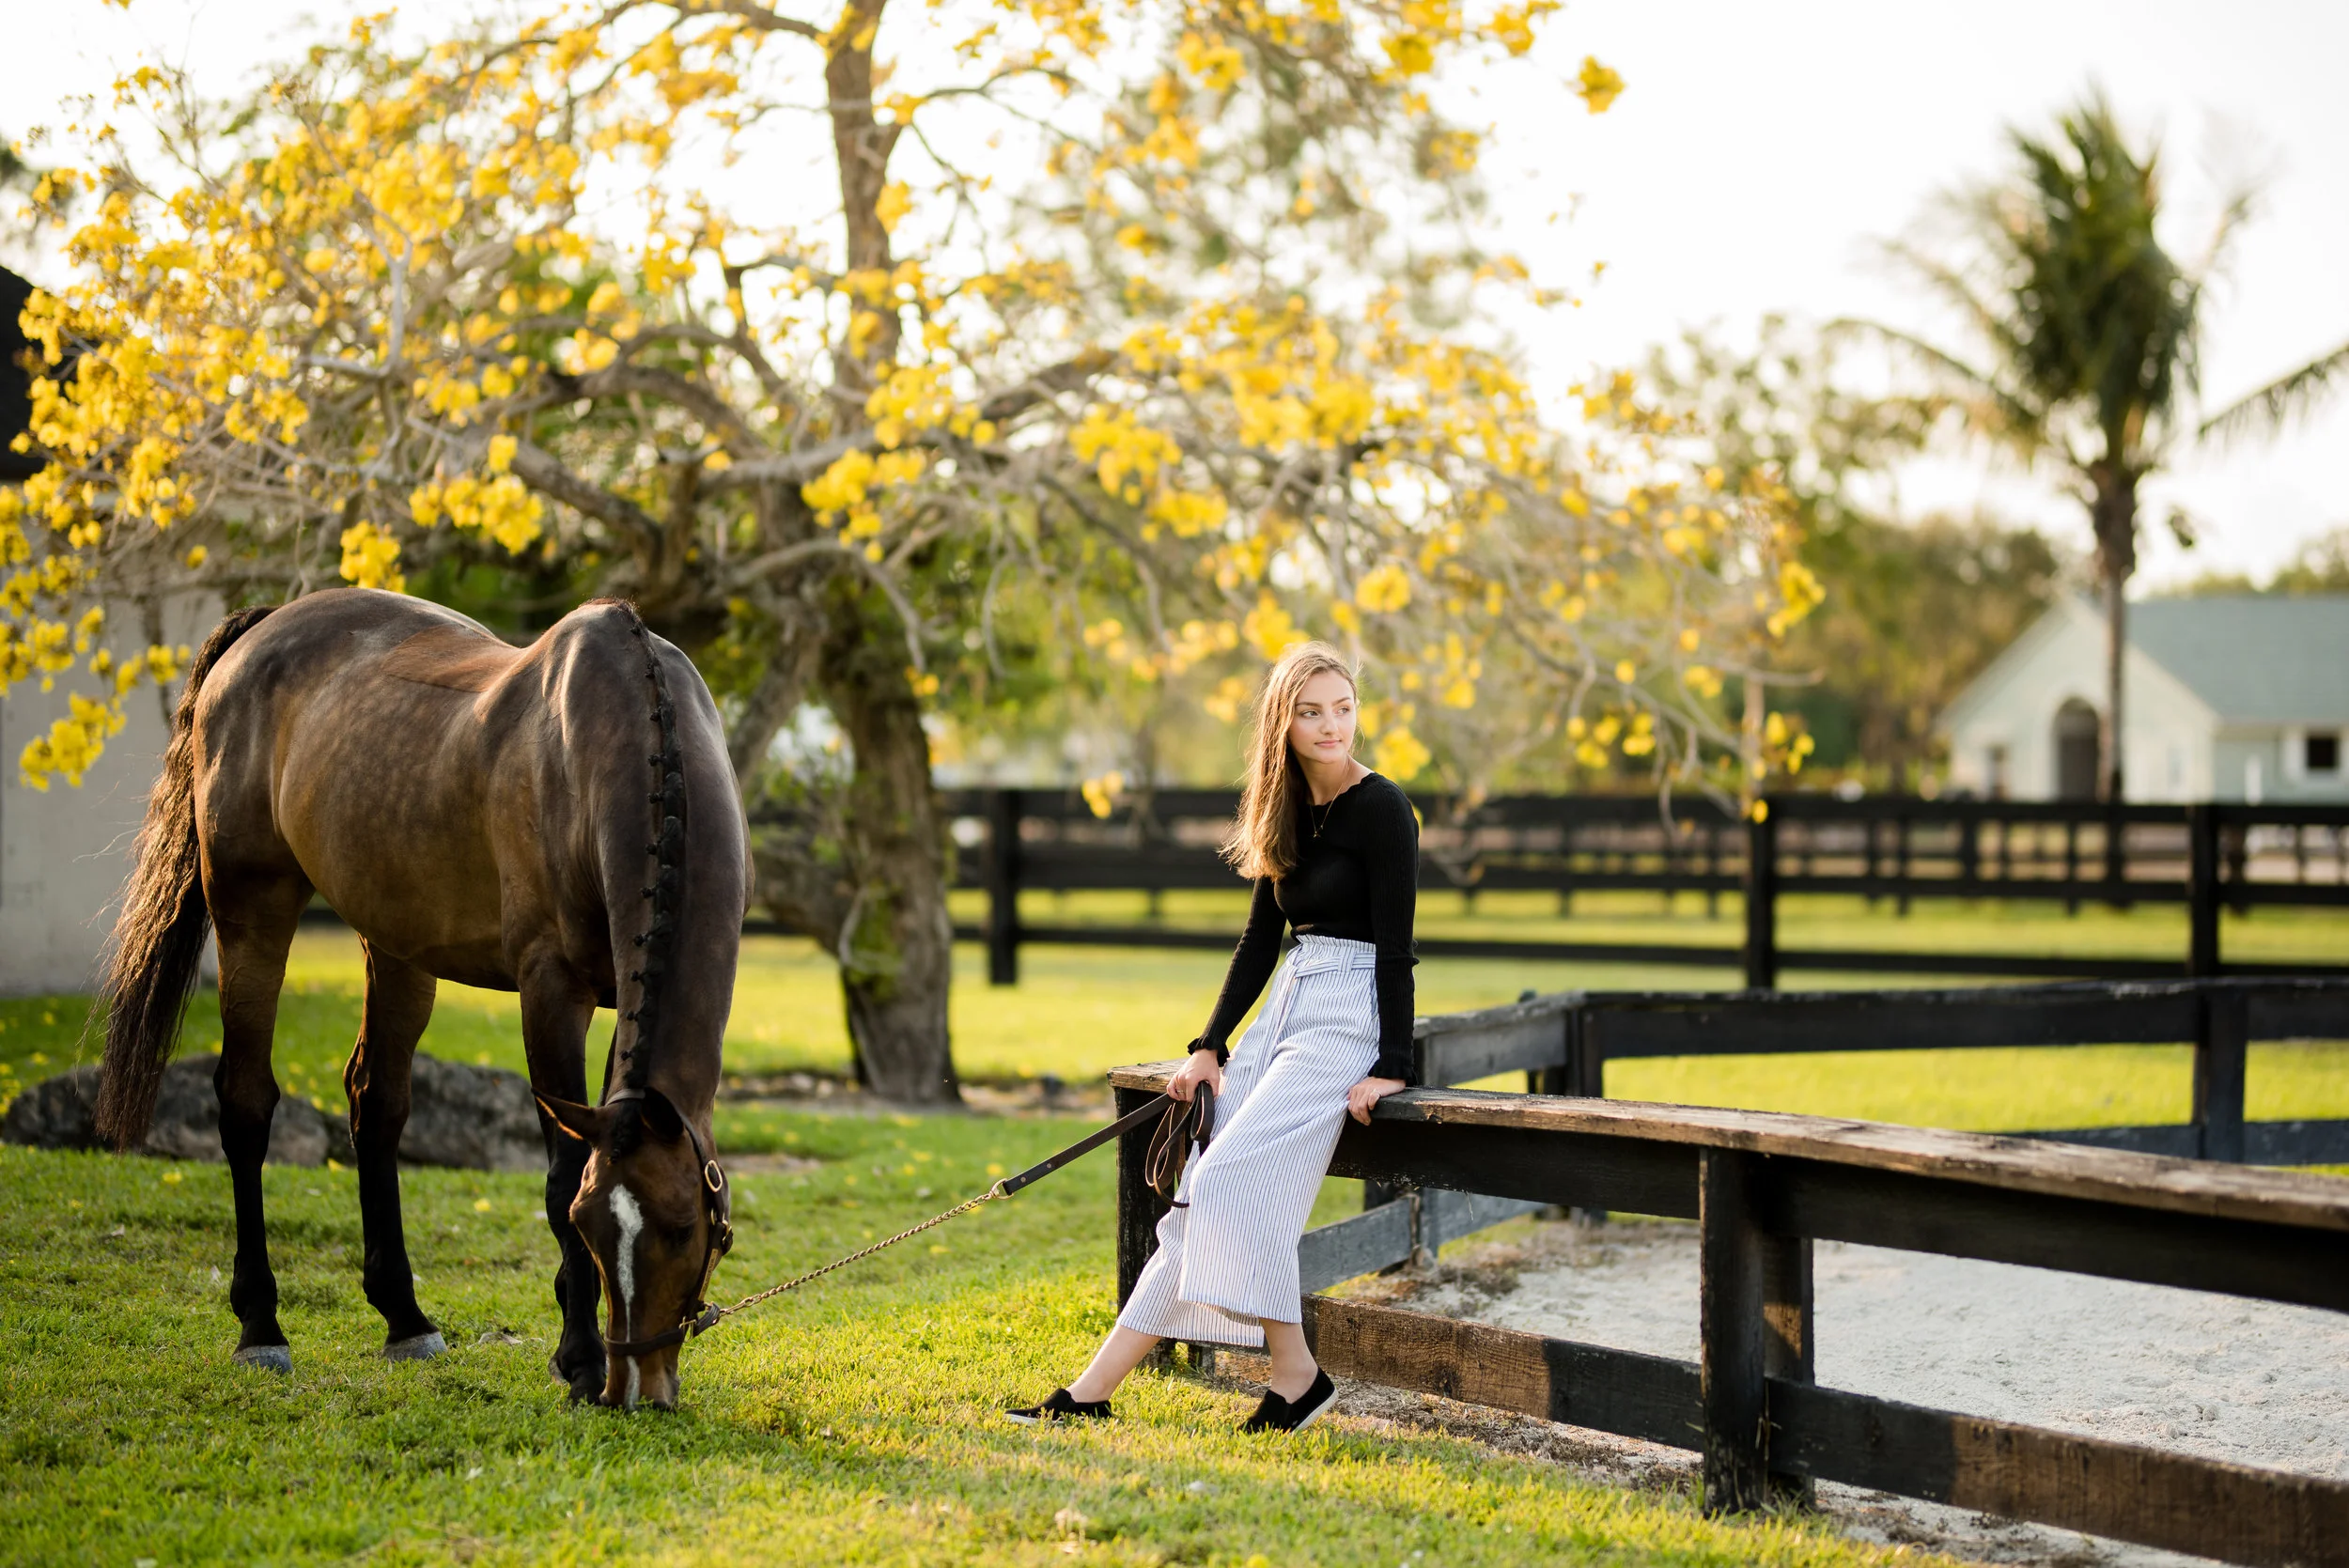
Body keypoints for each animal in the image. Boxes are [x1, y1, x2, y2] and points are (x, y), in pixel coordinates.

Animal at [91, 588, 749, 1410]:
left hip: (398, 948)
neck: (615, 740)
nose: (634, 1389)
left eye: (686, 1229)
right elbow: (560, 1169)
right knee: (245, 1102)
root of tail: (265, 628)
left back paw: (404, 1317)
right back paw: (261, 1326)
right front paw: (578, 1356)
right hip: (251, 912)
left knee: (376, 1105)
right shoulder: (550, 989)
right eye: (592, 1226)